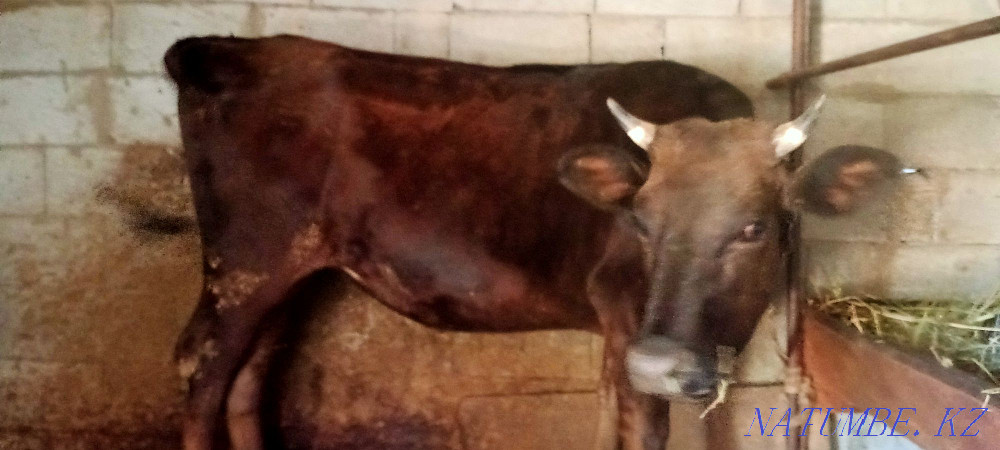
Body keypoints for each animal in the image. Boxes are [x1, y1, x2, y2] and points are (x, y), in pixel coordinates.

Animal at [161, 35, 902, 450]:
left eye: (754, 227)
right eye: (641, 222)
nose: (660, 359)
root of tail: (231, 46)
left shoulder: (638, 337)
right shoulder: (624, 311)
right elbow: (645, 427)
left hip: (285, 275)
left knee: (246, 381)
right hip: (244, 265)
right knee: (202, 374)